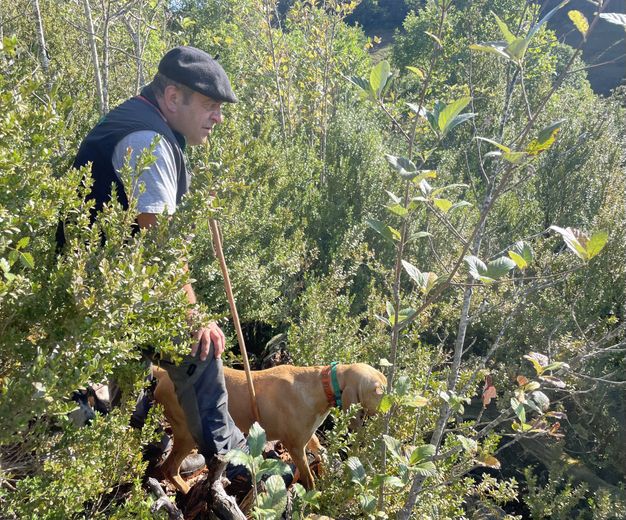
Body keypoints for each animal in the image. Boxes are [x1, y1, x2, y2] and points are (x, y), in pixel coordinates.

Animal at [152, 362, 386, 492]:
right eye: (378, 391)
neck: (321, 386)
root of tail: (163, 374)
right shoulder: (295, 447)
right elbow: (309, 481)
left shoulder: (309, 439)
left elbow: (323, 455)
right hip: (186, 434)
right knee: (168, 468)